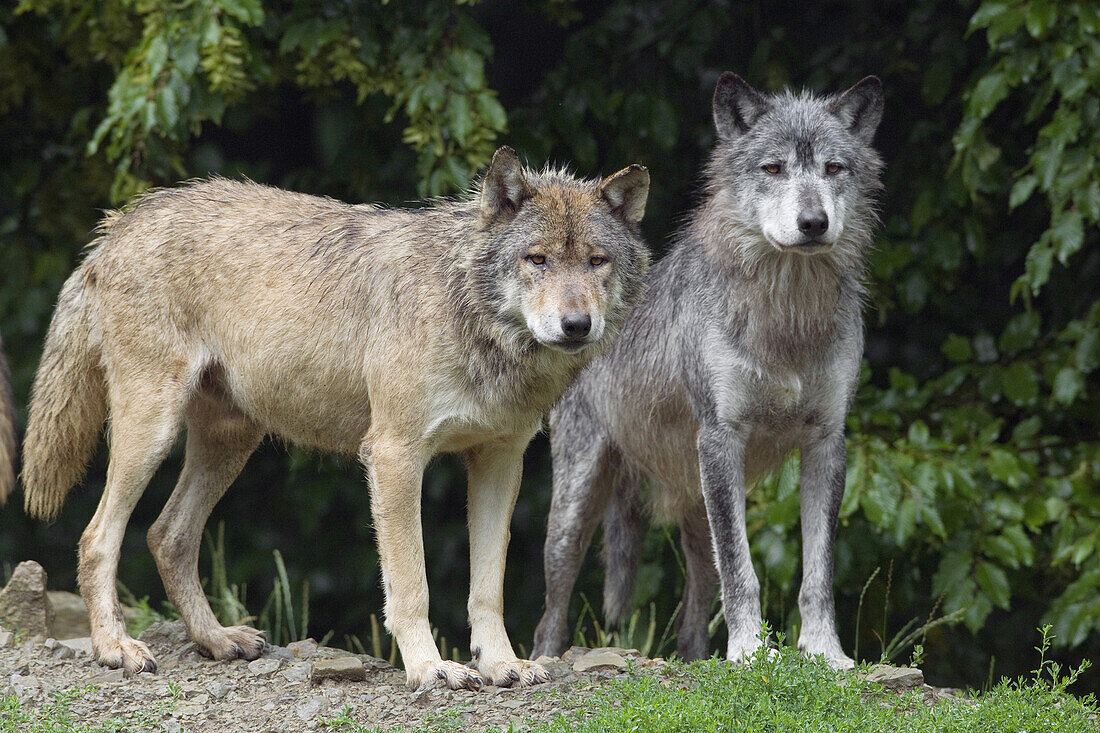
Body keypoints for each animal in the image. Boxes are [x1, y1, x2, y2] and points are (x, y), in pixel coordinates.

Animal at [21, 147, 651, 686]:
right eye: (536, 260)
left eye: (597, 262)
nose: (576, 325)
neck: (476, 324)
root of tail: (116, 227)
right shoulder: (394, 456)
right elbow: (412, 585)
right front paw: (430, 669)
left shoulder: (500, 461)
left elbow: (486, 588)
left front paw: (502, 665)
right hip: (152, 432)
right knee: (97, 537)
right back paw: (114, 649)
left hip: (232, 442)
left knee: (166, 535)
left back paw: (217, 640)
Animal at [532, 74, 884, 669]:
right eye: (774, 168)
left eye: (833, 168)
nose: (813, 223)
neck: (786, 318)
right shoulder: (722, 438)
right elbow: (743, 573)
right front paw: (751, 654)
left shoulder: (827, 442)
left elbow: (817, 574)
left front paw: (825, 654)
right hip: (578, 505)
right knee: (551, 609)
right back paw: (540, 662)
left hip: (698, 510)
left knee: (693, 611)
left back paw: (697, 660)